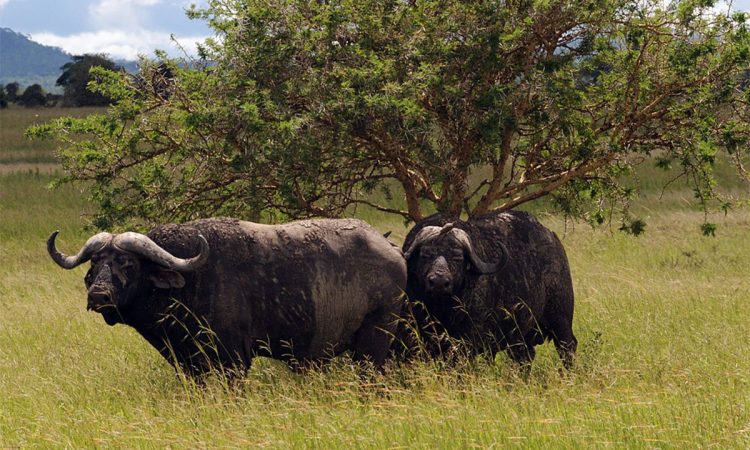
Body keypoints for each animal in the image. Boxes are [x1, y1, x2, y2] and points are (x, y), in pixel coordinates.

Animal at [48, 218, 407, 376]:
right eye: (96, 263)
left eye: (128, 264)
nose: (99, 295)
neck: (190, 284)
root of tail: (392, 249)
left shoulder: (233, 360)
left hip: (373, 343)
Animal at [398, 210, 576, 369]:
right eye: (425, 255)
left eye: (458, 257)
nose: (439, 282)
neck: (441, 310)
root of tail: (554, 241)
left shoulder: (467, 341)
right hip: (521, 337)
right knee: (525, 357)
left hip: (561, 318)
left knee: (567, 347)